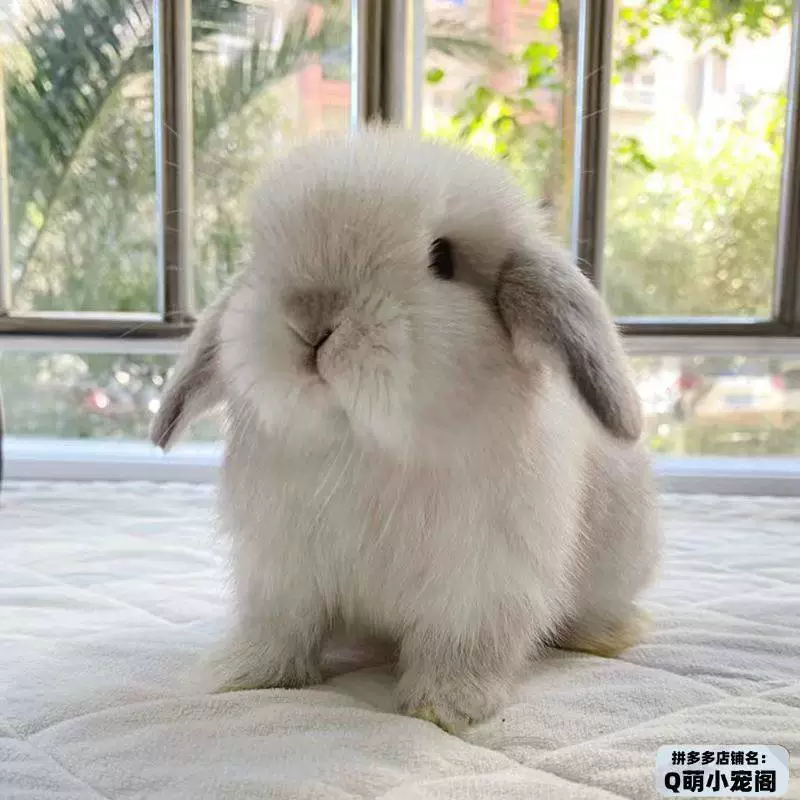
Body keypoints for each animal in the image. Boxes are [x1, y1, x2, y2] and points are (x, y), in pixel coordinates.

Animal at [151, 127, 661, 733]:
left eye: (443, 258)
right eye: (260, 257)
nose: (312, 321)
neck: (362, 445)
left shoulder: (479, 588)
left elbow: (459, 650)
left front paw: (444, 707)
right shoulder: (281, 574)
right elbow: (280, 634)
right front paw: (240, 676)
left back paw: (608, 636)